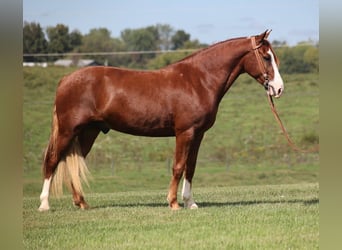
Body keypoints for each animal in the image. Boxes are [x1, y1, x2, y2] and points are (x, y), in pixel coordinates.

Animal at [38, 30, 284, 212]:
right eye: (266, 57)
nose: (278, 88)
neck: (198, 80)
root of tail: (65, 79)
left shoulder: (198, 134)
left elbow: (191, 167)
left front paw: (190, 202)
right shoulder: (184, 132)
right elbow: (178, 166)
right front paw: (173, 203)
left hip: (88, 132)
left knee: (73, 163)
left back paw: (81, 203)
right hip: (68, 131)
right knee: (52, 160)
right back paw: (44, 205)